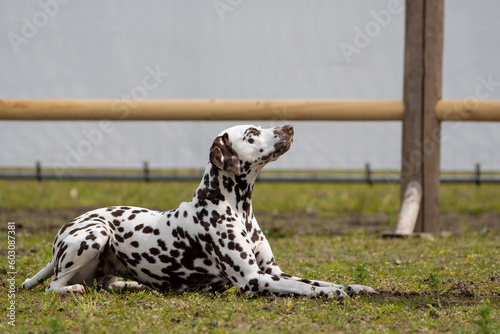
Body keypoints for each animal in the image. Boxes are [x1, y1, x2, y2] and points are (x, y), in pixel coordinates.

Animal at [21, 124, 376, 298]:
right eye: (252, 133)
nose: (289, 126)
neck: (237, 207)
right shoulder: (253, 280)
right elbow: (305, 287)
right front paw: (334, 293)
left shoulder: (272, 272)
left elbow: (318, 280)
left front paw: (353, 287)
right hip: (95, 234)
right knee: (56, 285)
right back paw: (72, 289)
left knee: (105, 283)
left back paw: (133, 285)